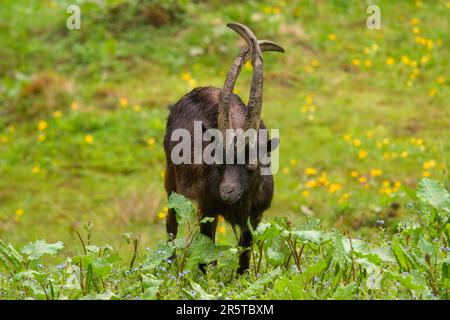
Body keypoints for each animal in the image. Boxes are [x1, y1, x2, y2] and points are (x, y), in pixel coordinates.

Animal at [163, 22, 284, 274]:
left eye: (251, 165)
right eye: (218, 163)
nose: (227, 191)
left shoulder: (254, 217)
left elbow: (245, 252)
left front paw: (242, 275)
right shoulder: (206, 207)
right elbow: (205, 247)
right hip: (171, 181)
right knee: (171, 222)